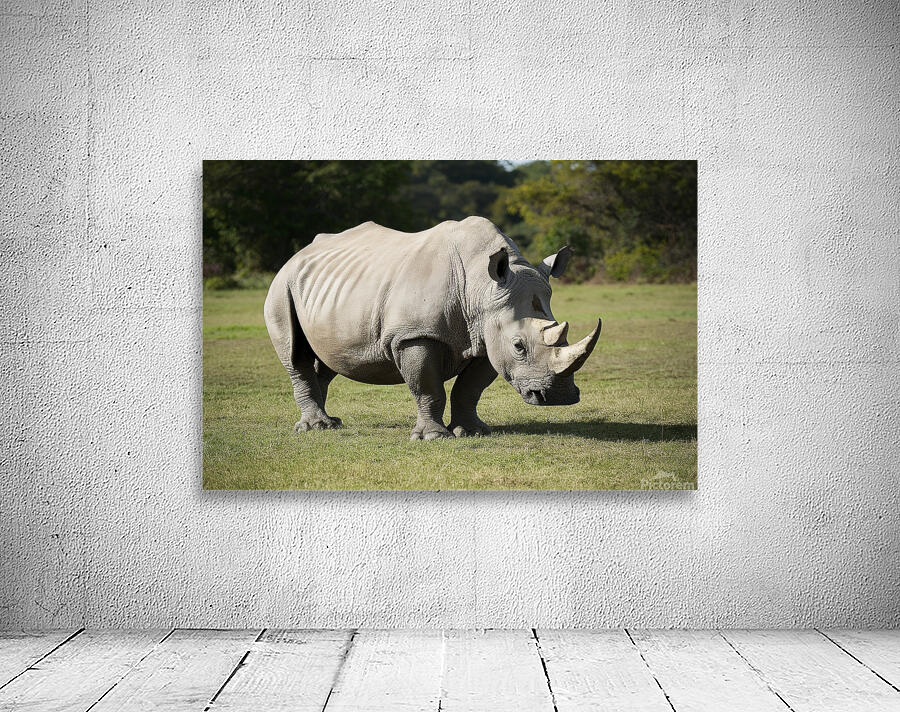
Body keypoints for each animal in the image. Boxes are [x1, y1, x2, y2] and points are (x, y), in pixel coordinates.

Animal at [264, 216, 601, 440]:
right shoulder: (414, 336)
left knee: (328, 358)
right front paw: (433, 437)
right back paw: (315, 428)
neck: (481, 288)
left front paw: (473, 432)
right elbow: (428, 387)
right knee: (296, 356)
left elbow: (470, 389)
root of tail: (297, 255)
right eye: (519, 346)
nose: (559, 396)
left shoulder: (487, 336)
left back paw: (331, 423)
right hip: (282, 286)